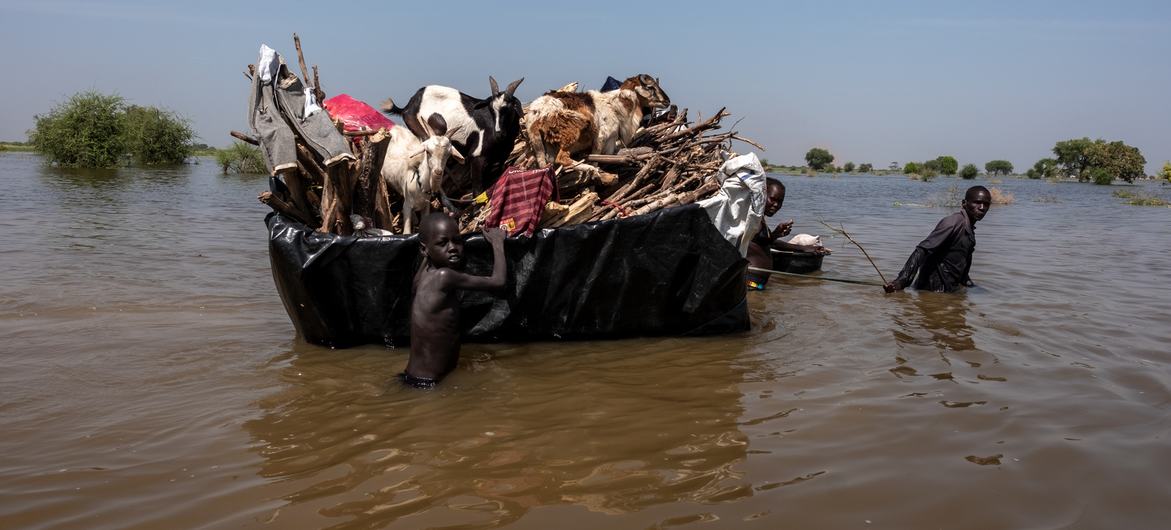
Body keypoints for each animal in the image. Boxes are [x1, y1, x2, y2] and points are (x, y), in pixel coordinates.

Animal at [381, 76, 524, 194]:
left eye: (508, 109)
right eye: (491, 109)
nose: (498, 133)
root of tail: (407, 107)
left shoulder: (500, 159)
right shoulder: (477, 156)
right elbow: (478, 191)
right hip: (424, 134)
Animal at [526, 74, 674, 184]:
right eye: (650, 87)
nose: (667, 101)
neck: (615, 105)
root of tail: (536, 114)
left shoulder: (612, 142)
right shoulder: (602, 139)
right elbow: (596, 159)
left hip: (543, 148)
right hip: (572, 130)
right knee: (563, 158)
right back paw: (597, 172)